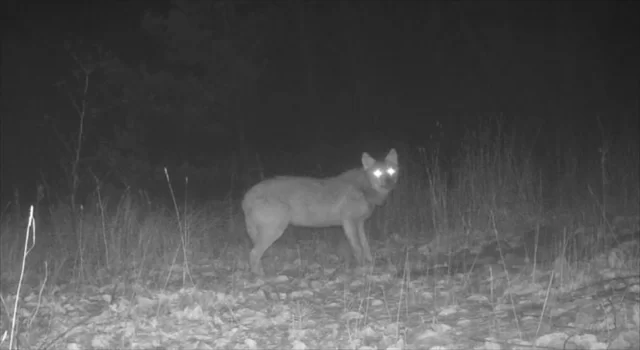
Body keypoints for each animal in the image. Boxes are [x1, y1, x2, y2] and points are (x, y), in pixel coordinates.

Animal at [242, 148, 398, 274]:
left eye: (391, 171)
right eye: (377, 172)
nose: (389, 182)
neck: (364, 189)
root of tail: (246, 197)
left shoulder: (360, 224)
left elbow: (365, 245)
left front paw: (370, 263)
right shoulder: (348, 222)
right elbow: (358, 247)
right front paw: (362, 268)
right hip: (275, 231)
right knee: (253, 253)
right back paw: (260, 276)